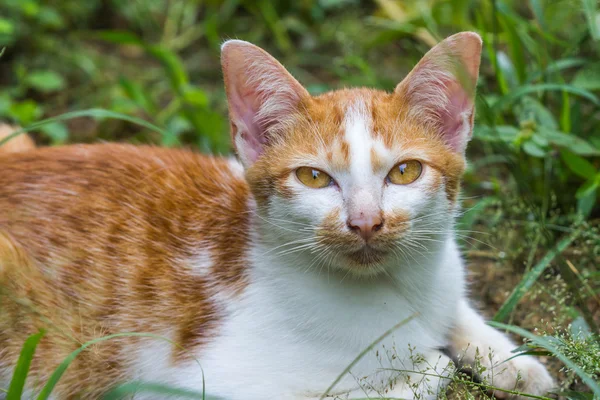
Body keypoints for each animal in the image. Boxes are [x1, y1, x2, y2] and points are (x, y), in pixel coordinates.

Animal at [0, 32, 552, 398]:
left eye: (405, 171)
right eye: (313, 177)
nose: (366, 222)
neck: (396, 291)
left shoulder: (444, 280)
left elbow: (457, 310)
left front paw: (513, 361)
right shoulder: (185, 384)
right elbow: (420, 375)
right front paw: (429, 365)